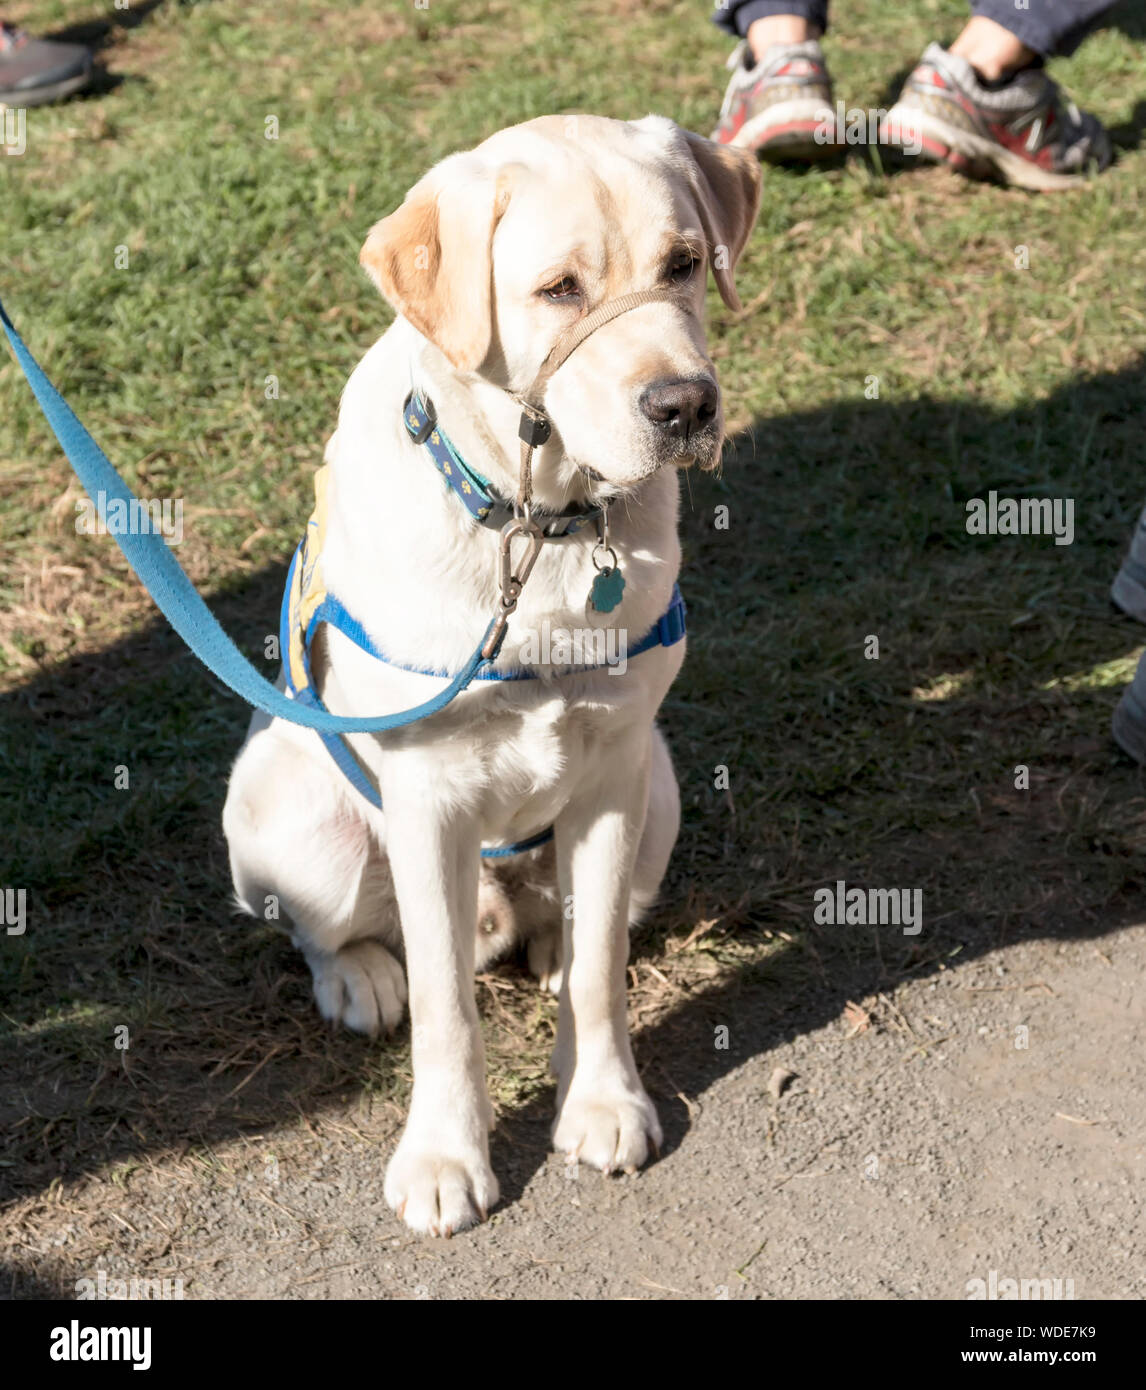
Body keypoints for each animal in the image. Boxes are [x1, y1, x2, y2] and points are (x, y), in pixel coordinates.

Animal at [223, 113, 762, 1234]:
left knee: (587, 924)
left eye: (686, 265)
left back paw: (547, 944)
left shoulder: (611, 773)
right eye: (558, 288)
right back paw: (360, 979)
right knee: (327, 933)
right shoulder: (428, 803)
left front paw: (602, 1102)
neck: (540, 525)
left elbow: (603, 974)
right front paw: (443, 1157)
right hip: (283, 813)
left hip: (660, 787)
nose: (686, 405)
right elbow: (447, 1012)